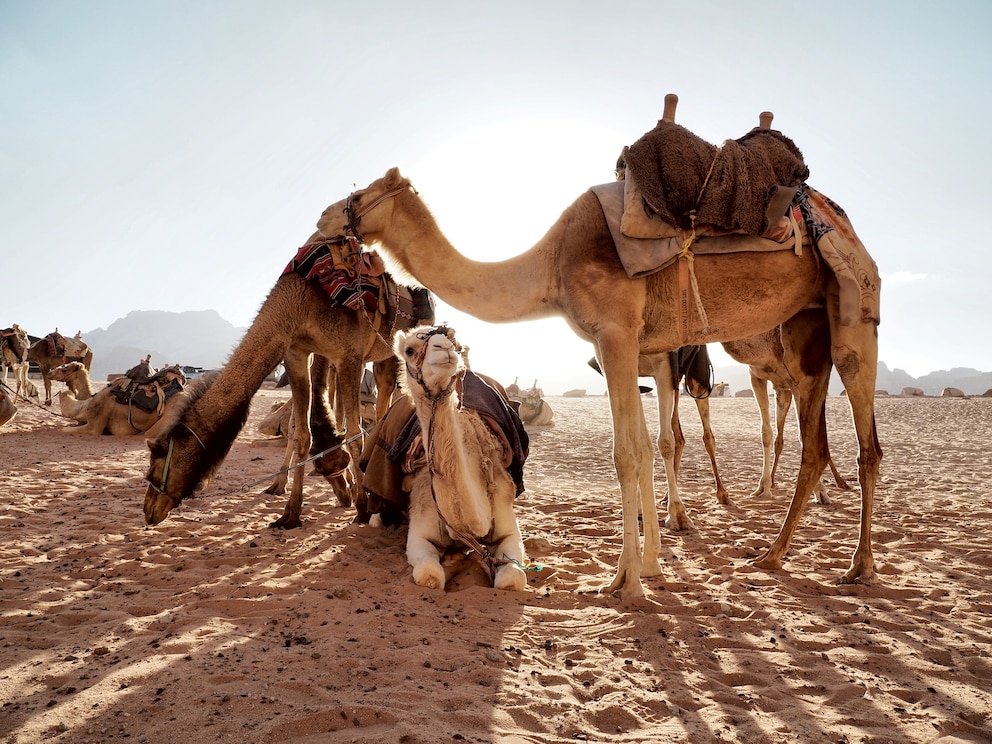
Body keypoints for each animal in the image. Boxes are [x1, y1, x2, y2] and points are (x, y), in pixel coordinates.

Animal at [398, 326, 536, 592]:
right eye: (409, 350)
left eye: (456, 345)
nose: (444, 347)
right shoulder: (420, 529)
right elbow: (431, 576)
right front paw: (451, 561)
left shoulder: (507, 519)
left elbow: (513, 579)